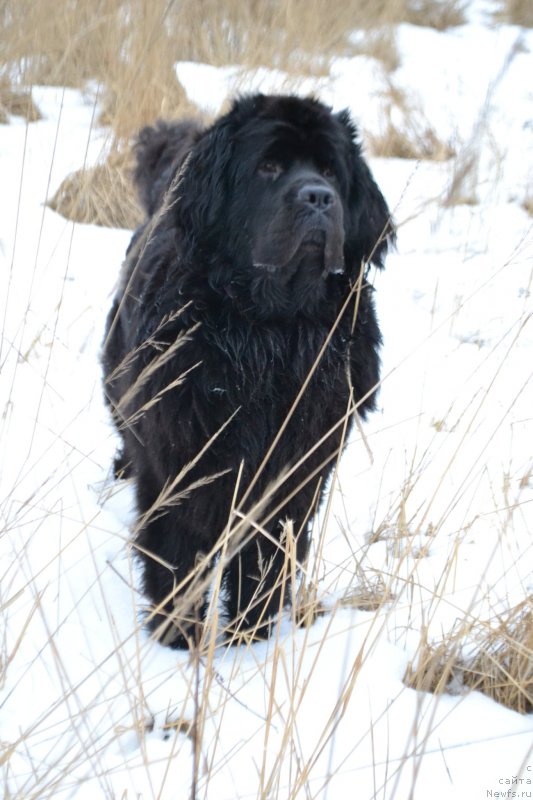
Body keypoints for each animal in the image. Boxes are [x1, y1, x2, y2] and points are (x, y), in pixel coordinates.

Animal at [102, 94, 392, 648]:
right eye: (268, 167)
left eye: (330, 170)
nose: (318, 198)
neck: (270, 335)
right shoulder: (181, 460)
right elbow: (176, 552)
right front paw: (179, 639)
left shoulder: (295, 470)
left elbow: (265, 557)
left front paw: (251, 636)